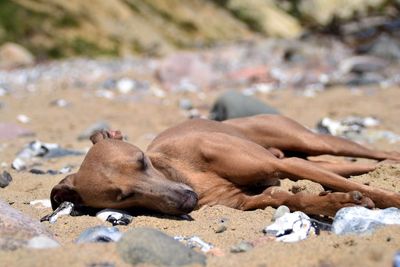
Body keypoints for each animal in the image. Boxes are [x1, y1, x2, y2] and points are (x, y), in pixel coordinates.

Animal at [50, 115, 400, 218]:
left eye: (142, 161)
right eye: (124, 197)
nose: (186, 201)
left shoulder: (275, 165)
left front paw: (391, 200)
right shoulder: (252, 199)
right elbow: (296, 199)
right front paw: (335, 203)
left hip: (311, 143)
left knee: (375, 154)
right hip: (319, 159)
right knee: (352, 168)